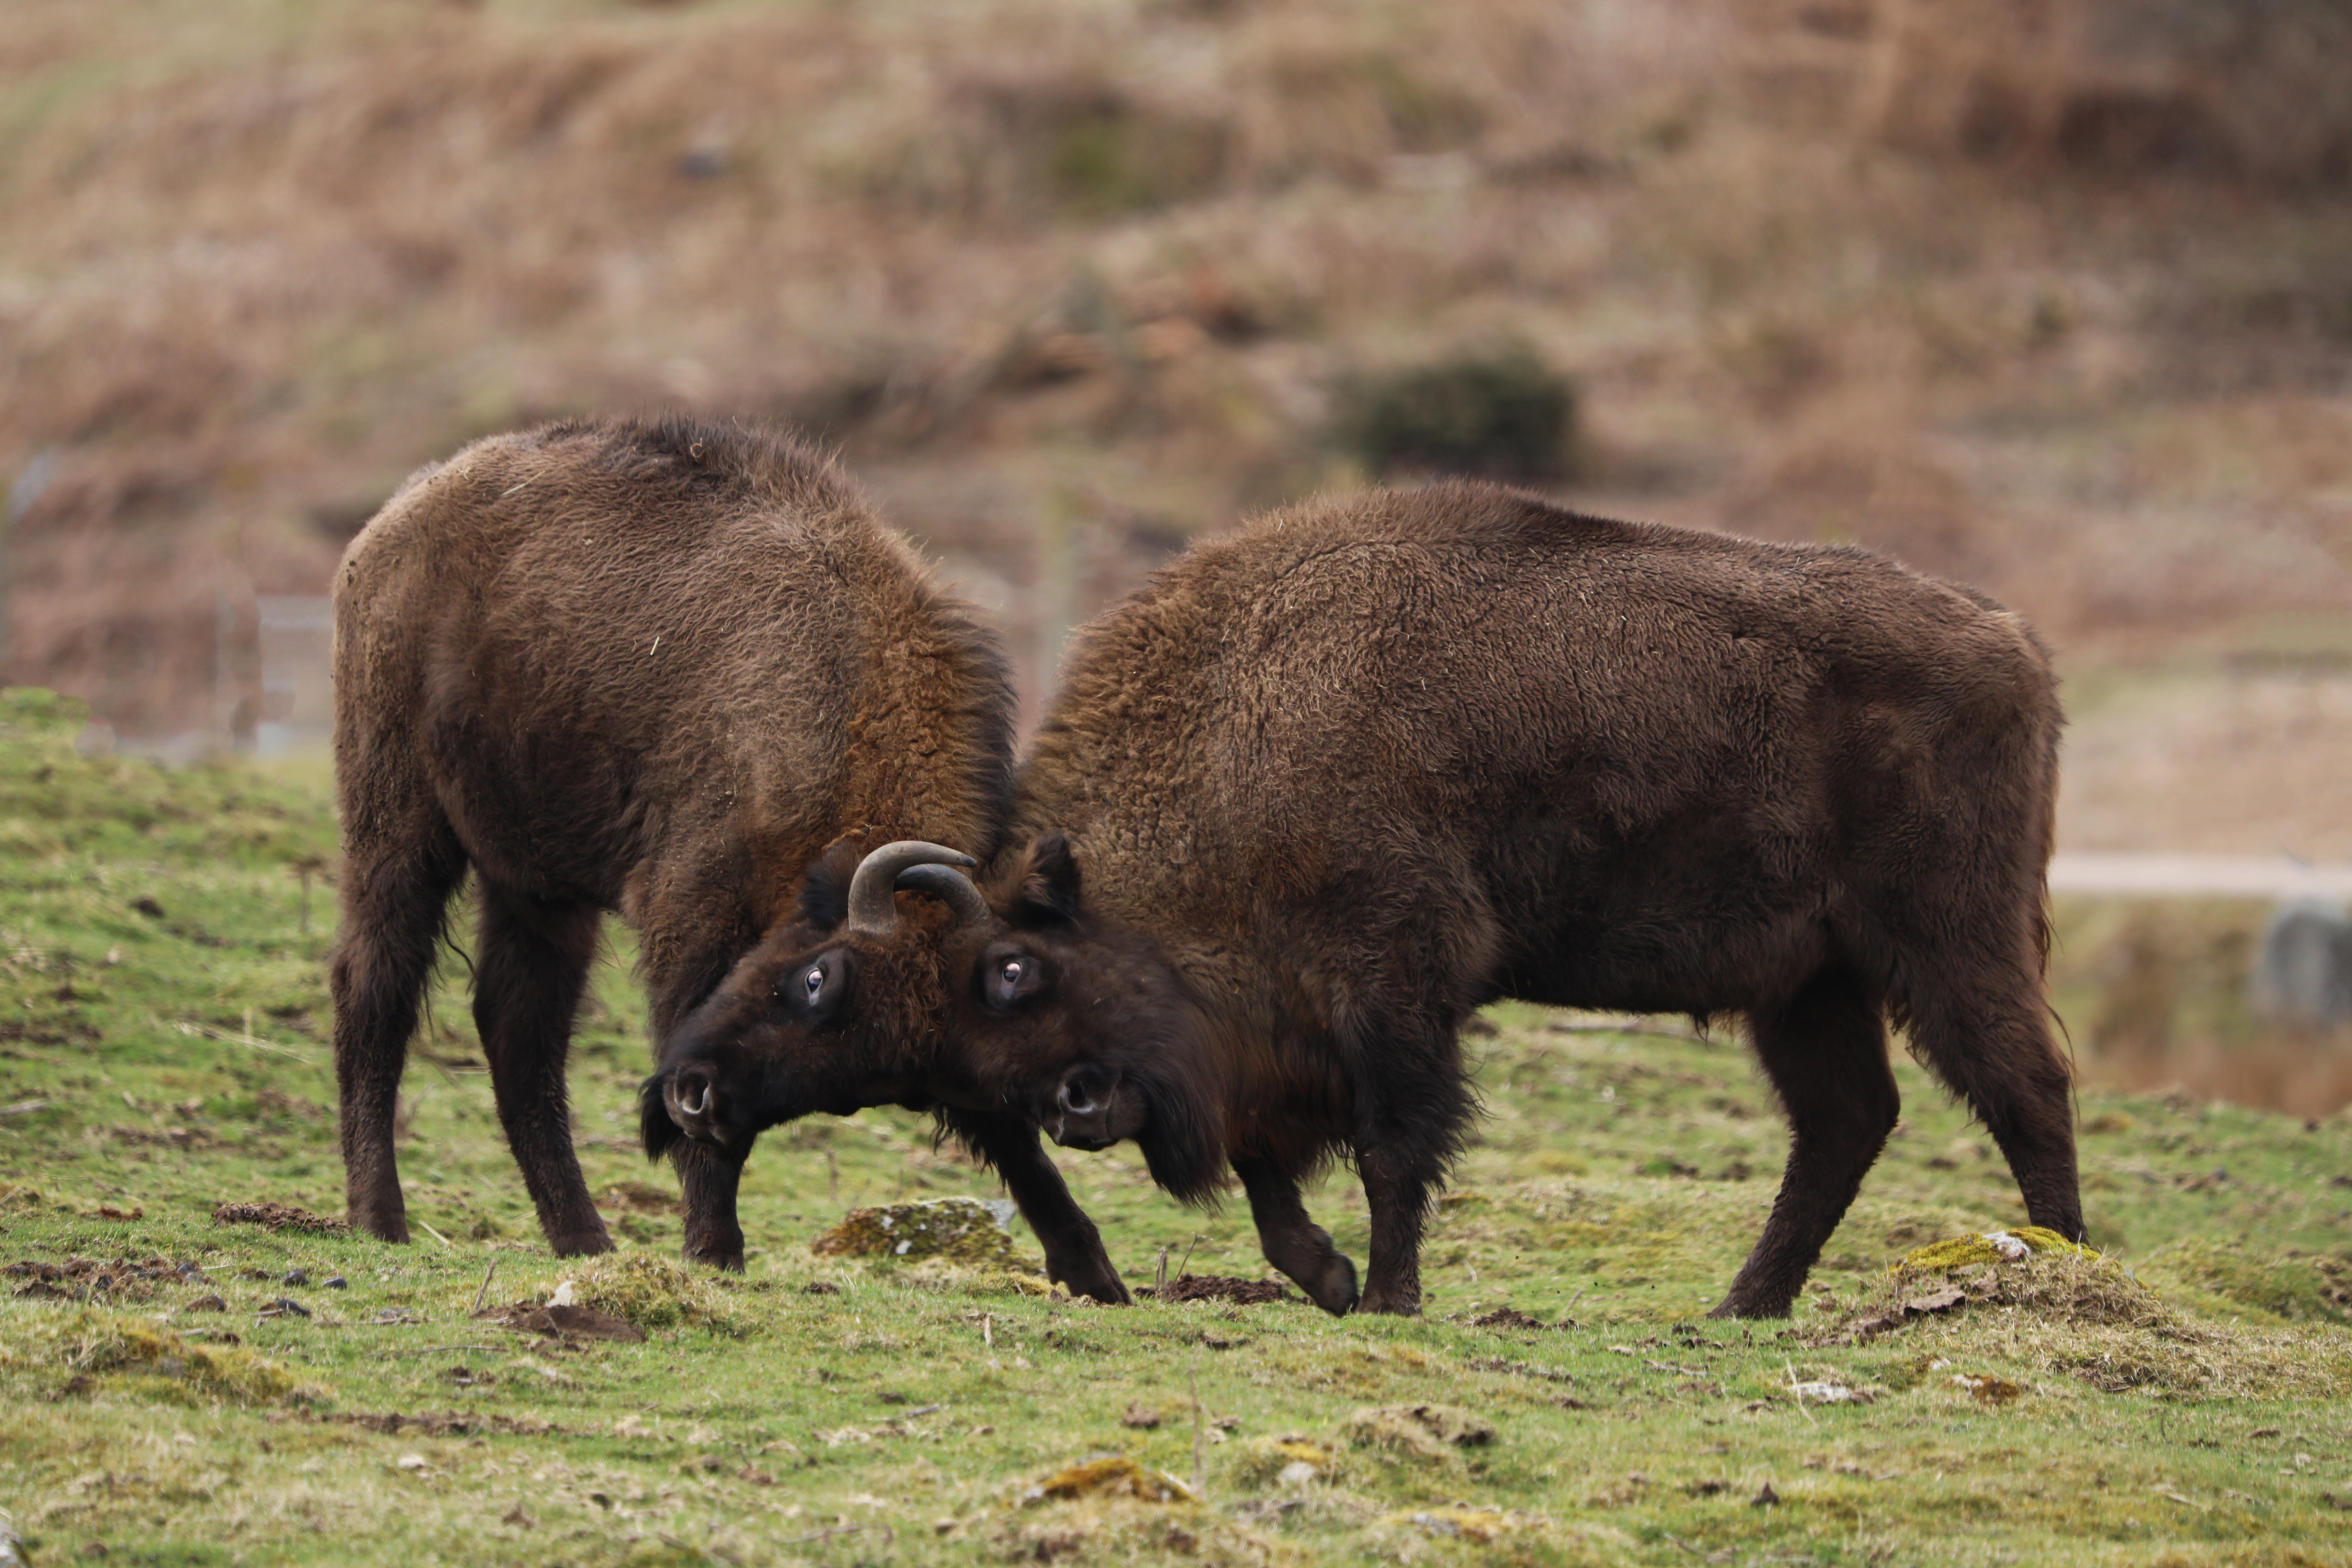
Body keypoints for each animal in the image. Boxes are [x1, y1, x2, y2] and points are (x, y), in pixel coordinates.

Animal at [331, 415, 1121, 1297]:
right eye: (817, 979)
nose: (698, 1102)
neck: (841, 712)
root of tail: (394, 520)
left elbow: (1006, 1130)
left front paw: (1096, 1273)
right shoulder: (688, 909)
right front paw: (714, 1248)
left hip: (536, 886)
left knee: (517, 1030)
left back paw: (584, 1239)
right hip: (399, 826)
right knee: (376, 991)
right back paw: (382, 1218)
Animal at [648, 479, 2084, 1318]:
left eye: (1013, 969)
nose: (1075, 1107)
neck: (1239, 734)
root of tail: (2011, 638)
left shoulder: (1392, 986)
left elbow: (1395, 1148)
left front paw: (1388, 1294)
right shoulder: (1272, 1038)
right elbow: (1270, 1175)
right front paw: (1333, 1280)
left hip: (1941, 939)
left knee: (2021, 1082)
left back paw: (2062, 1267)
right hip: (1805, 981)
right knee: (1847, 1119)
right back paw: (1739, 1307)